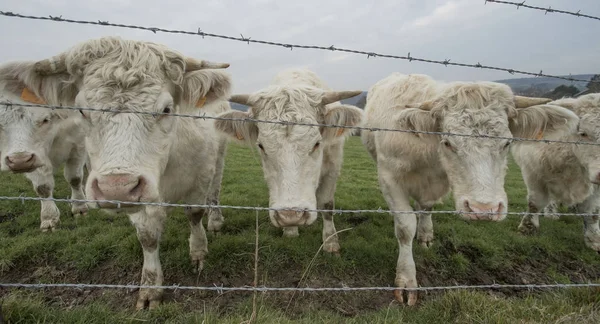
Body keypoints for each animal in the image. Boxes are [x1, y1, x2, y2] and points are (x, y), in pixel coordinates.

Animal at [0, 62, 88, 232]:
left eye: (44, 120)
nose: (19, 160)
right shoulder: (35, 158)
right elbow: (43, 187)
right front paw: (49, 218)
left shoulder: (78, 145)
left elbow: (74, 178)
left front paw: (80, 207)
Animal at [17, 36, 231, 310]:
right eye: (82, 110)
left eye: (166, 109)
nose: (115, 187)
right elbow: (147, 237)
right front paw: (150, 288)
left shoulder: (200, 175)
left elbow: (194, 214)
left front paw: (198, 253)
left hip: (219, 156)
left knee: (215, 191)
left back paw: (215, 220)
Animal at [212, 69, 360, 253]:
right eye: (261, 146)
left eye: (317, 144)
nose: (290, 215)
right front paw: (290, 230)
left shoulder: (333, 166)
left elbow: (327, 204)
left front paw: (331, 242)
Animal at [360, 73, 576, 306]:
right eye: (448, 142)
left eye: (507, 143)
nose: (483, 209)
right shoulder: (389, 179)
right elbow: (405, 227)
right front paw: (407, 278)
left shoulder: (433, 185)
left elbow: (426, 208)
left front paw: (425, 235)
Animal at [510, 93, 600, 251]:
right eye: (583, 133)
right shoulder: (533, 172)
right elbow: (535, 202)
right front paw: (527, 228)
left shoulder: (595, 186)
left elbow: (593, 212)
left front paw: (593, 239)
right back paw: (551, 213)